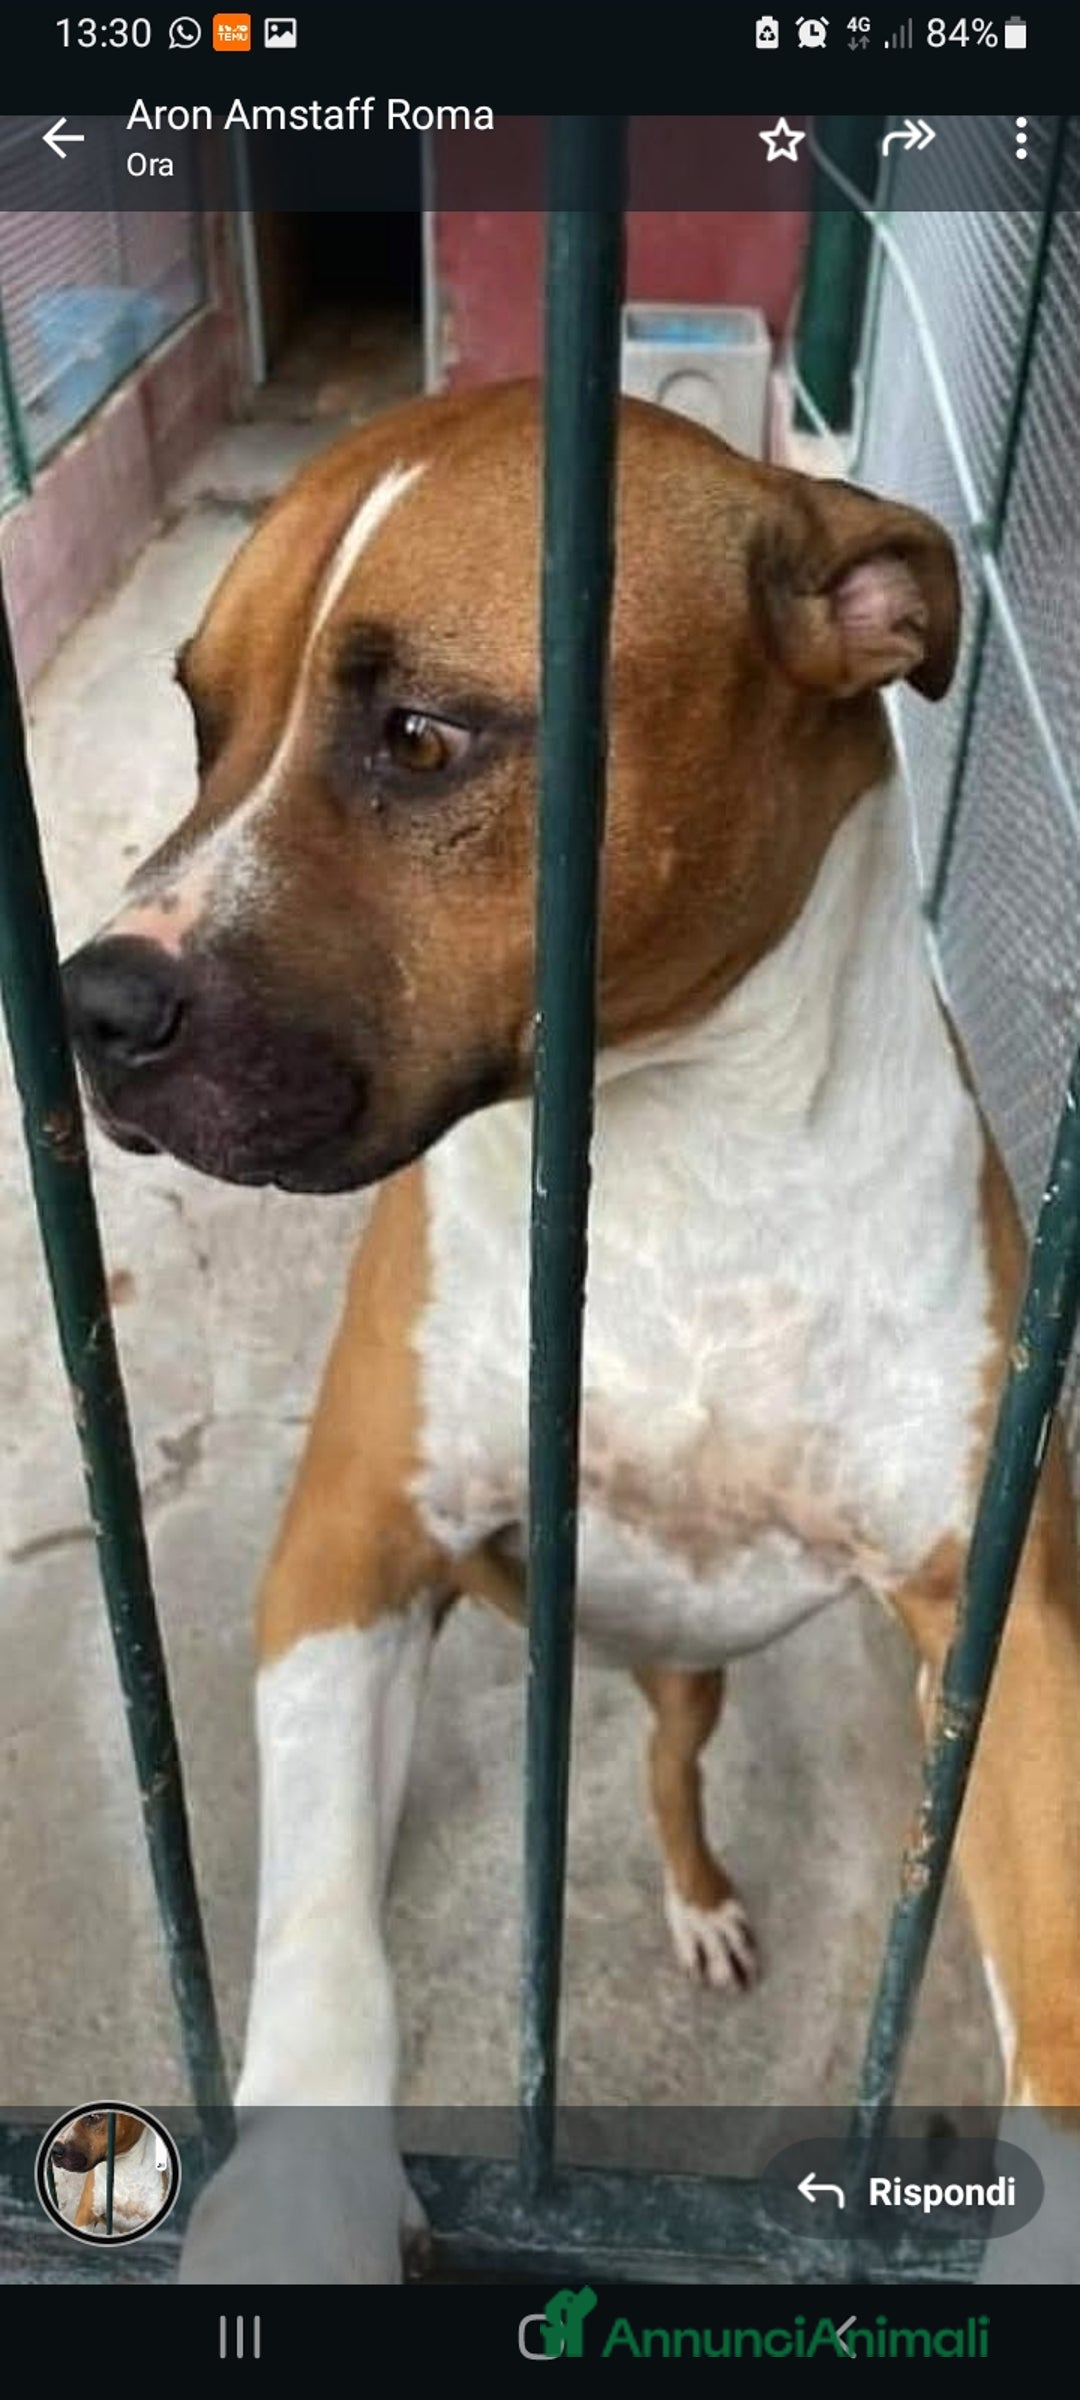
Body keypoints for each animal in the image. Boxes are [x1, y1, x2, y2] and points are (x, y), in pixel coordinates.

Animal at [61, 382, 1080, 2280]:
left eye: (420, 740)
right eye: (202, 724)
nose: (90, 1003)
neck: (683, 1153)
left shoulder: (1001, 1631)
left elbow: (1049, 1960)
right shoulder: (346, 1542)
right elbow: (322, 1943)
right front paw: (297, 2203)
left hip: (691, 1679)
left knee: (674, 1781)